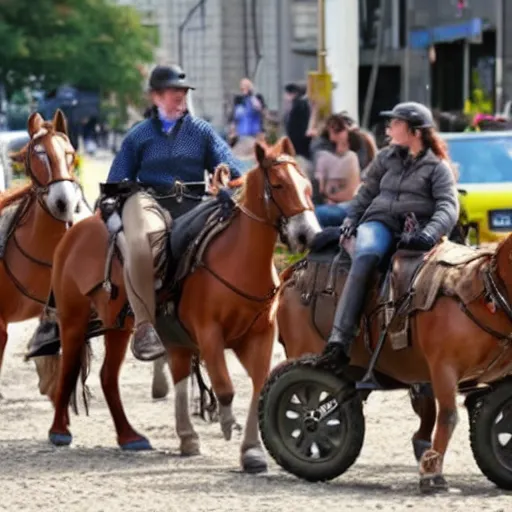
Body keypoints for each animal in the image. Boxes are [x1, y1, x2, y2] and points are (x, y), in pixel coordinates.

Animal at [43, 137, 320, 472]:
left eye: (307, 186)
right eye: (279, 185)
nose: (308, 234)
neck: (237, 259)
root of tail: (75, 231)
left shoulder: (258, 336)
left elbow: (257, 388)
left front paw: (251, 452)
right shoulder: (209, 333)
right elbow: (224, 386)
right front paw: (226, 424)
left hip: (120, 328)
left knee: (110, 377)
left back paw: (132, 437)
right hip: (72, 318)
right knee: (69, 368)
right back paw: (60, 431)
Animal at [262, 236, 512, 492]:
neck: (486, 290)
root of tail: (294, 272)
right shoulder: (444, 369)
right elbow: (449, 416)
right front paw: (431, 473)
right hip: (306, 353)